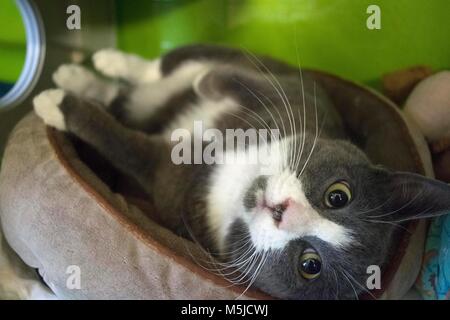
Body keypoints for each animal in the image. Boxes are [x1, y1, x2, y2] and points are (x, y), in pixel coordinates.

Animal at [34, 45, 450, 300]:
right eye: (338, 195)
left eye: (310, 265)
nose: (281, 211)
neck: (237, 181)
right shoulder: (298, 101)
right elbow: (245, 83)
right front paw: (208, 82)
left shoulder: (168, 181)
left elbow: (125, 146)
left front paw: (59, 106)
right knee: (167, 65)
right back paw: (102, 64)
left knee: (122, 102)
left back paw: (76, 83)